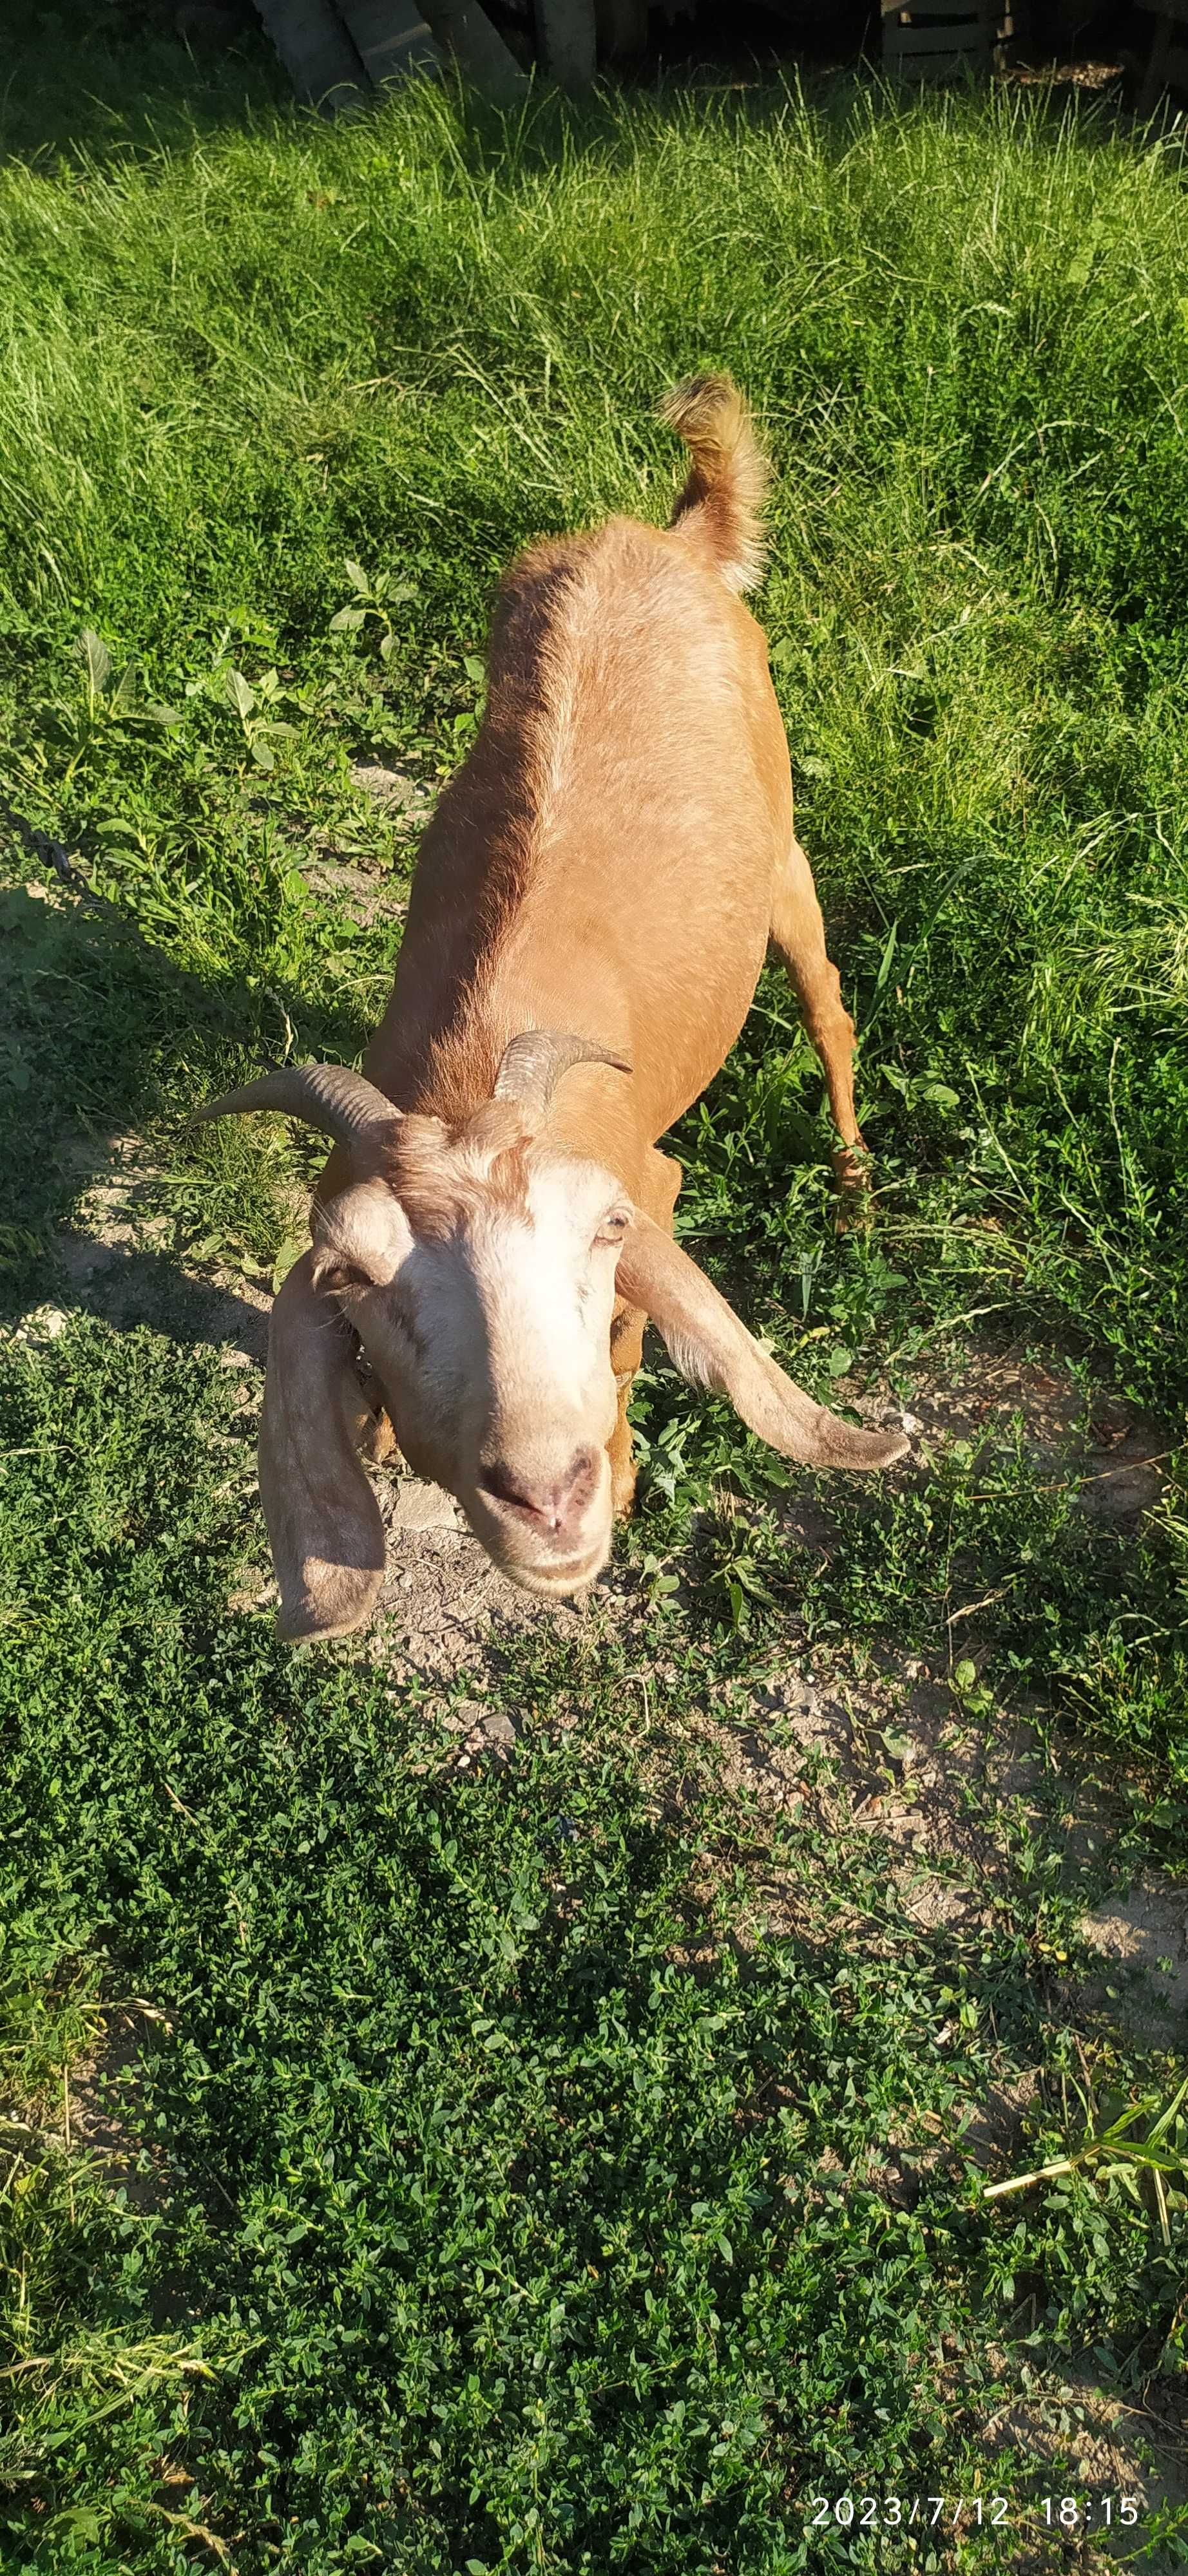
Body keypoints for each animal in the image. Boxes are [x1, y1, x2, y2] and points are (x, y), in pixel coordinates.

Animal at [201, 374, 907, 1638]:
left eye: (606, 1229)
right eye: (348, 1280)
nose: (544, 1495)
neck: (465, 1069)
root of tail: (665, 537)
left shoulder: (653, 1179)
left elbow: (628, 1340)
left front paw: (621, 1474)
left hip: (784, 858)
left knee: (830, 1012)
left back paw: (853, 1187)